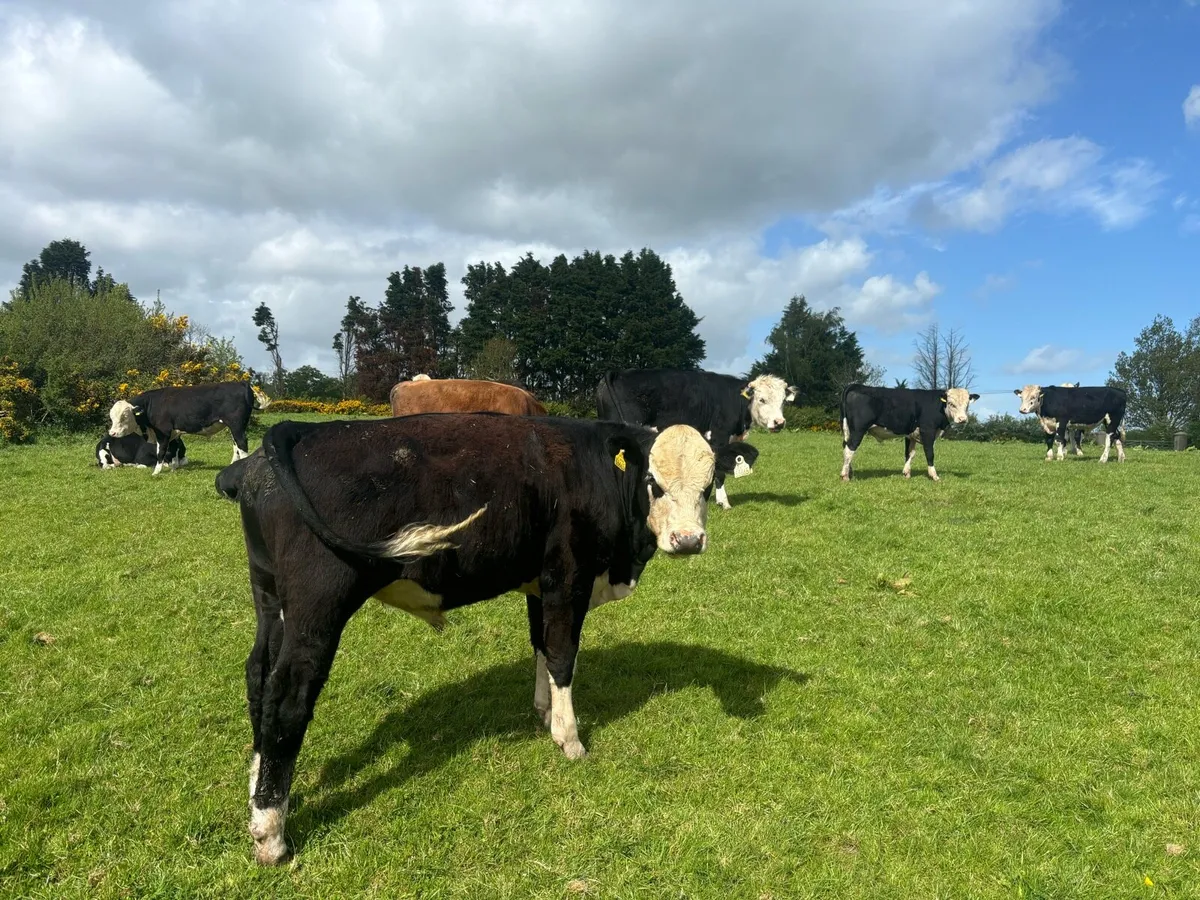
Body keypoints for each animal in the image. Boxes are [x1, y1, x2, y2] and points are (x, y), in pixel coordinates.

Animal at [107, 382, 271, 474]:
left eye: (124, 417)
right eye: (112, 417)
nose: (112, 432)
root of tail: (242, 383)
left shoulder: (163, 432)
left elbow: (161, 452)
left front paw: (156, 472)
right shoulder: (174, 432)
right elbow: (173, 450)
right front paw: (173, 468)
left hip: (236, 425)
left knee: (242, 445)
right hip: (234, 427)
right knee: (236, 445)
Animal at [236, 413, 753, 865]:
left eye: (708, 485)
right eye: (653, 482)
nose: (688, 540)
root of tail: (297, 431)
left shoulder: (538, 583)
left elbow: (541, 644)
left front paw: (544, 712)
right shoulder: (567, 577)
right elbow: (563, 653)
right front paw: (569, 739)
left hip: (270, 595)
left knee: (258, 676)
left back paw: (258, 786)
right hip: (318, 601)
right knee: (287, 696)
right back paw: (271, 832)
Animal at [595, 368, 790, 509]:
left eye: (783, 401)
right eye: (762, 399)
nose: (779, 422)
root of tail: (617, 373)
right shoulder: (719, 437)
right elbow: (719, 472)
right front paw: (724, 502)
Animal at [840, 384, 979, 482]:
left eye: (967, 405)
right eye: (951, 403)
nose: (962, 419)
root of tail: (856, 385)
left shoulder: (910, 434)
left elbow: (910, 453)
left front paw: (906, 473)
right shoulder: (928, 431)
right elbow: (930, 453)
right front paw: (934, 476)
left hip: (849, 429)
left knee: (846, 446)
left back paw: (849, 472)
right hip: (858, 429)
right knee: (850, 449)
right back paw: (845, 476)